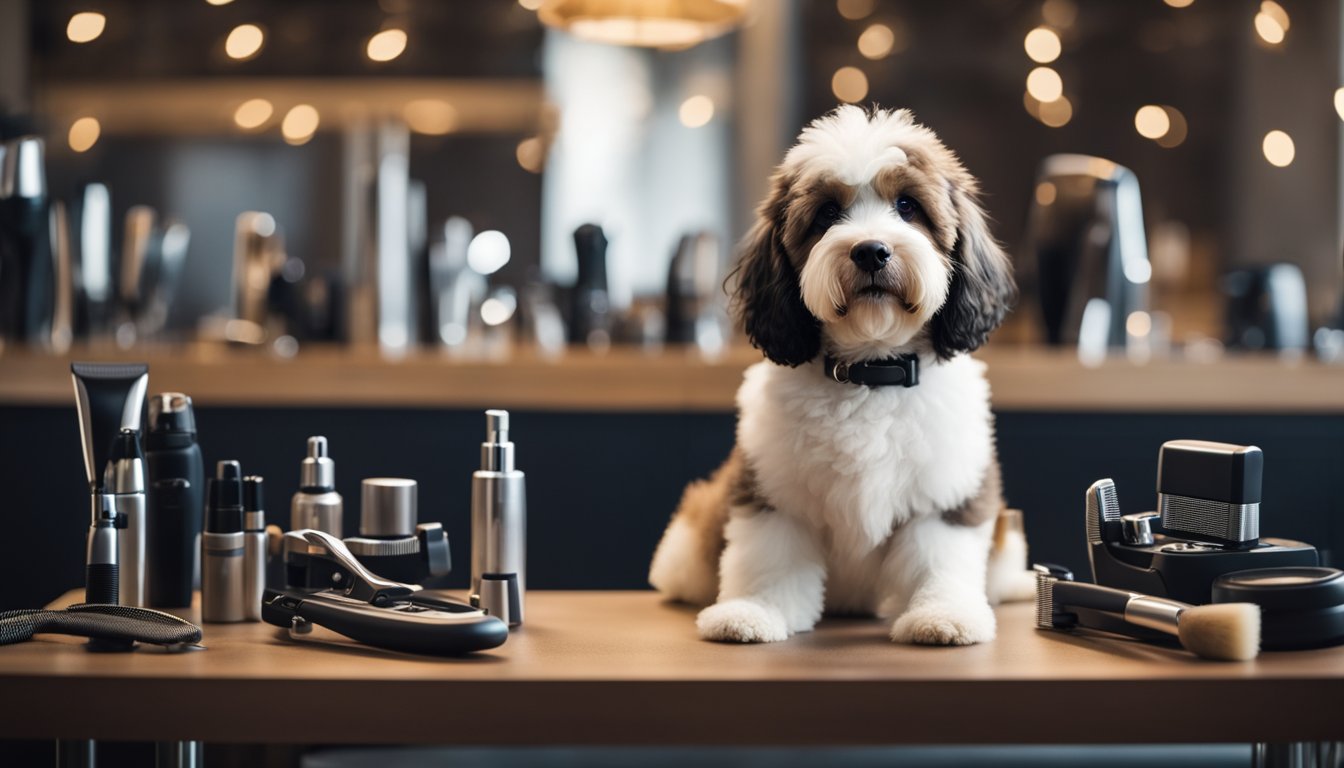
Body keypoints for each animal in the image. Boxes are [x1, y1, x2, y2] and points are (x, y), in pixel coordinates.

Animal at [647, 106, 1026, 648]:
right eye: (827, 214)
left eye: (908, 206)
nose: (871, 251)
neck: (871, 372)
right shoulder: (774, 493)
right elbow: (769, 557)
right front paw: (755, 610)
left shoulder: (945, 496)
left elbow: (937, 558)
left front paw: (942, 614)